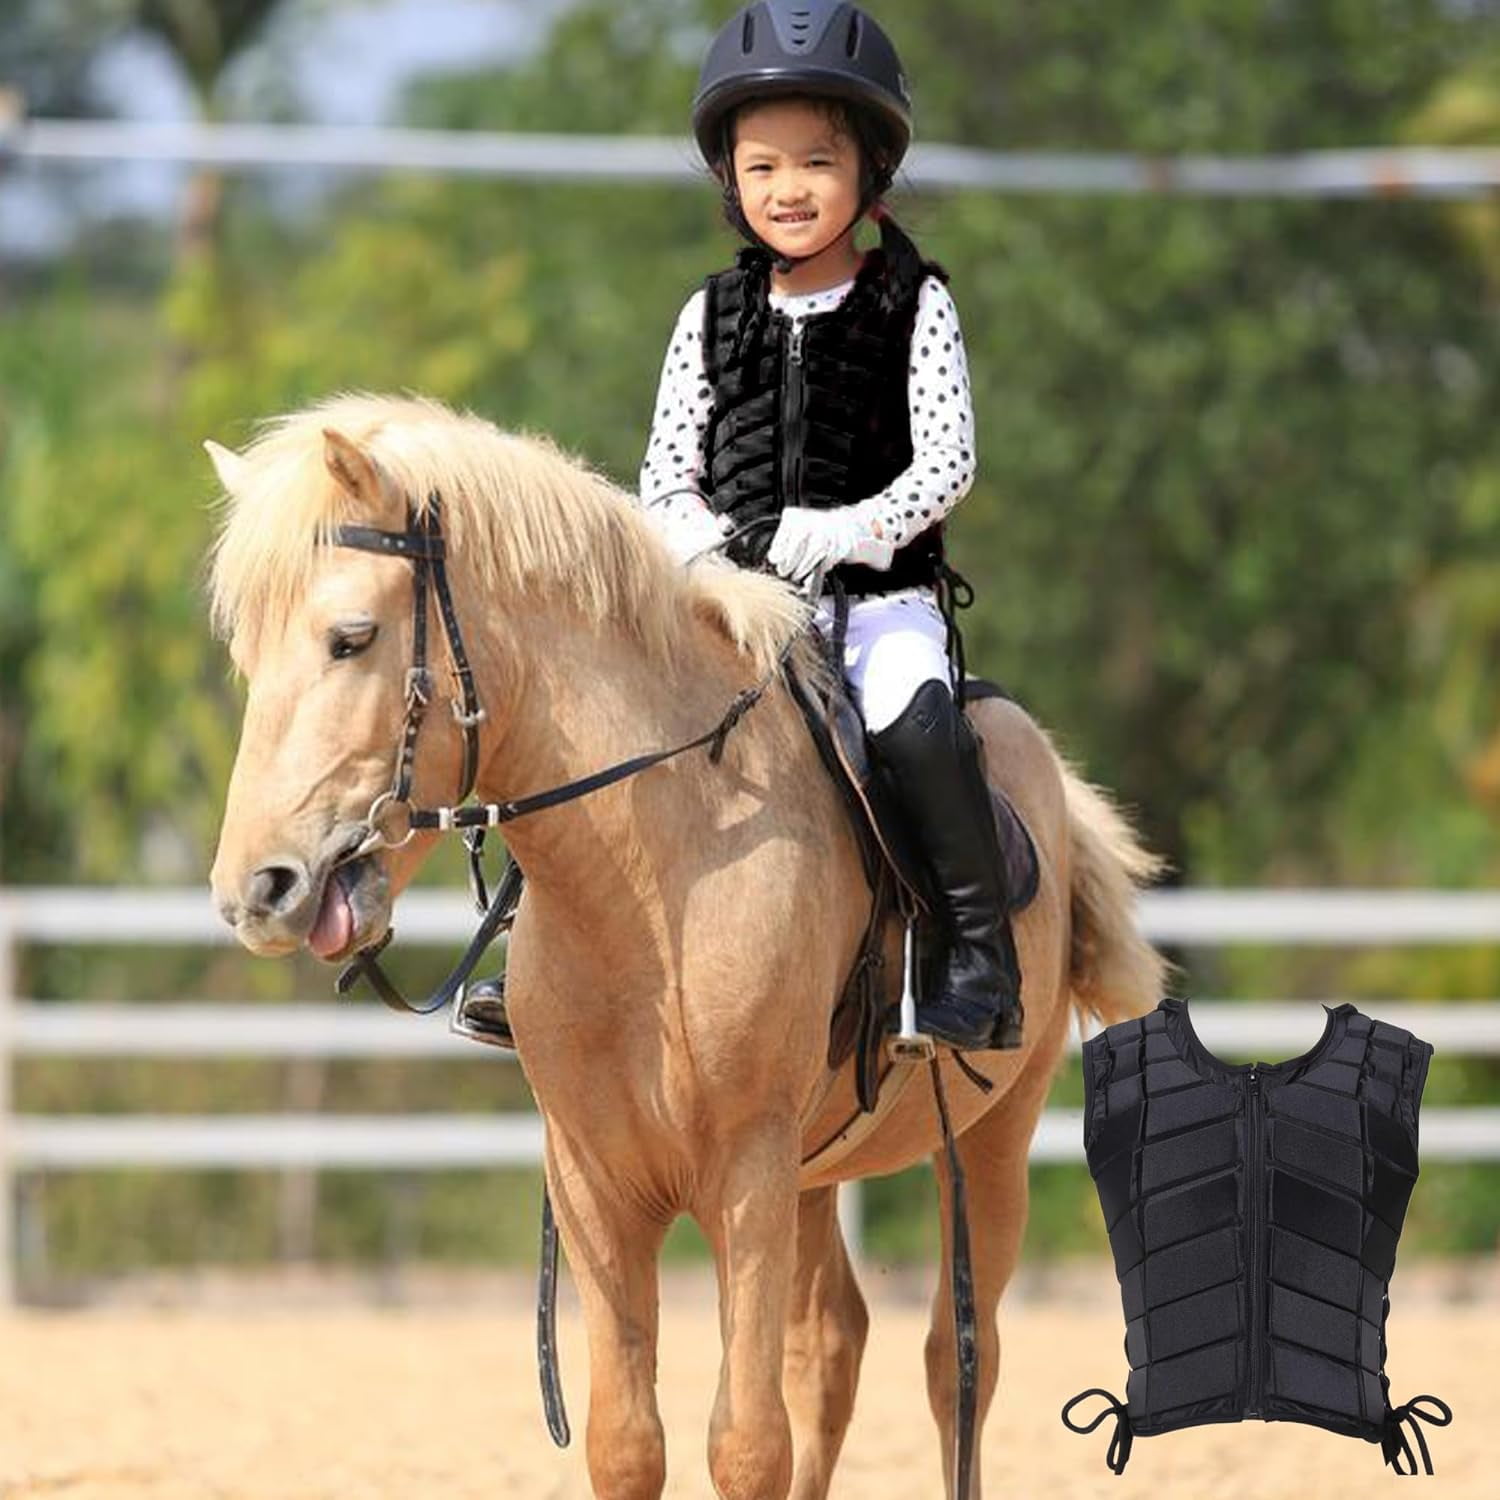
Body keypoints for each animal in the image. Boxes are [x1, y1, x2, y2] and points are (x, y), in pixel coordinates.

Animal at [205, 393, 1164, 1500]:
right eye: (248, 659)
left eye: (350, 639)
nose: (256, 890)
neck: (651, 888)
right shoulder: (594, 1186)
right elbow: (630, 1443)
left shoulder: (746, 1178)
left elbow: (747, 1443)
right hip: (818, 1173)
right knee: (832, 1345)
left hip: (991, 1136)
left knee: (958, 1361)